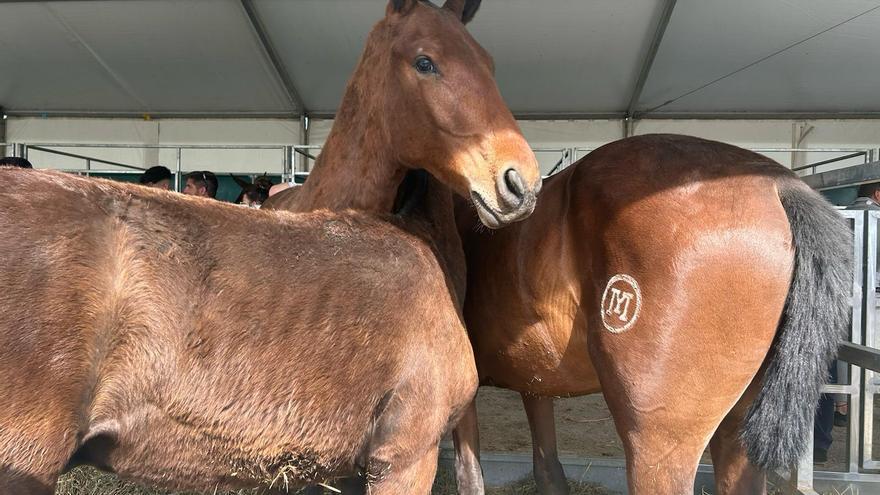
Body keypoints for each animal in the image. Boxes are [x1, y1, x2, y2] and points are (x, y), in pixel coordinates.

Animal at [454, 134, 852, 494]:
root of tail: (778, 185)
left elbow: (469, 471)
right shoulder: (534, 377)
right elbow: (545, 458)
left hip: (658, 443)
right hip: (738, 427)